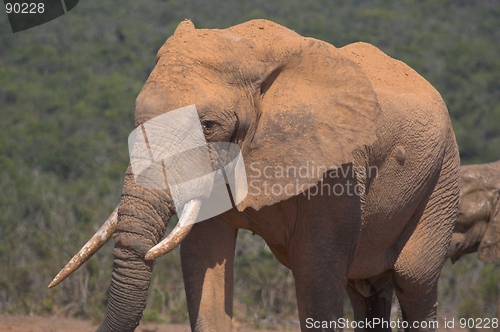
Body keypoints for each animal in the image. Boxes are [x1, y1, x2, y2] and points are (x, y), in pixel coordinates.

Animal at [48, 19, 458, 330]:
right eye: (137, 120)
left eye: (208, 126)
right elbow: (204, 261)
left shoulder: (336, 171)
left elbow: (317, 275)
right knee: (367, 291)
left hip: (442, 177)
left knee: (414, 281)